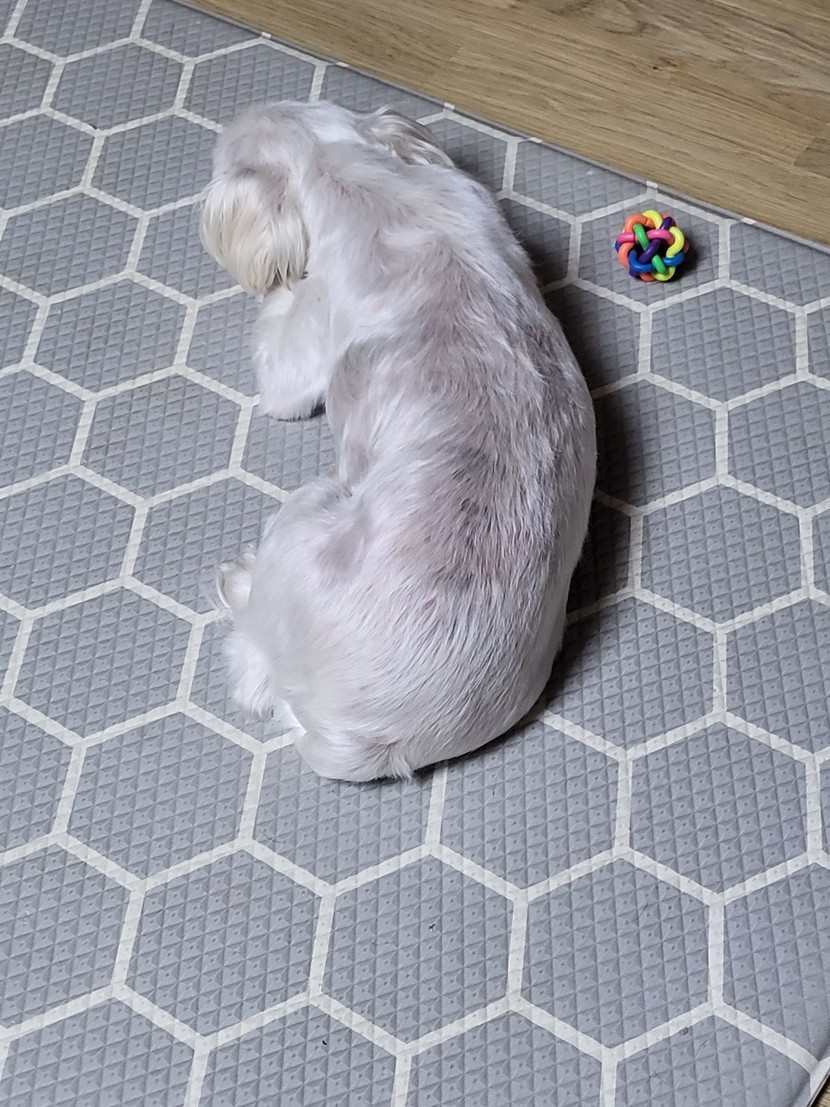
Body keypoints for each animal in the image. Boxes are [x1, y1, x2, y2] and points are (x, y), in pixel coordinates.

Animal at [200, 101, 596, 781]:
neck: (354, 172)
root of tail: (367, 737)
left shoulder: (309, 329)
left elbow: (283, 367)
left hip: (310, 510)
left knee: (254, 662)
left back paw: (241, 585)